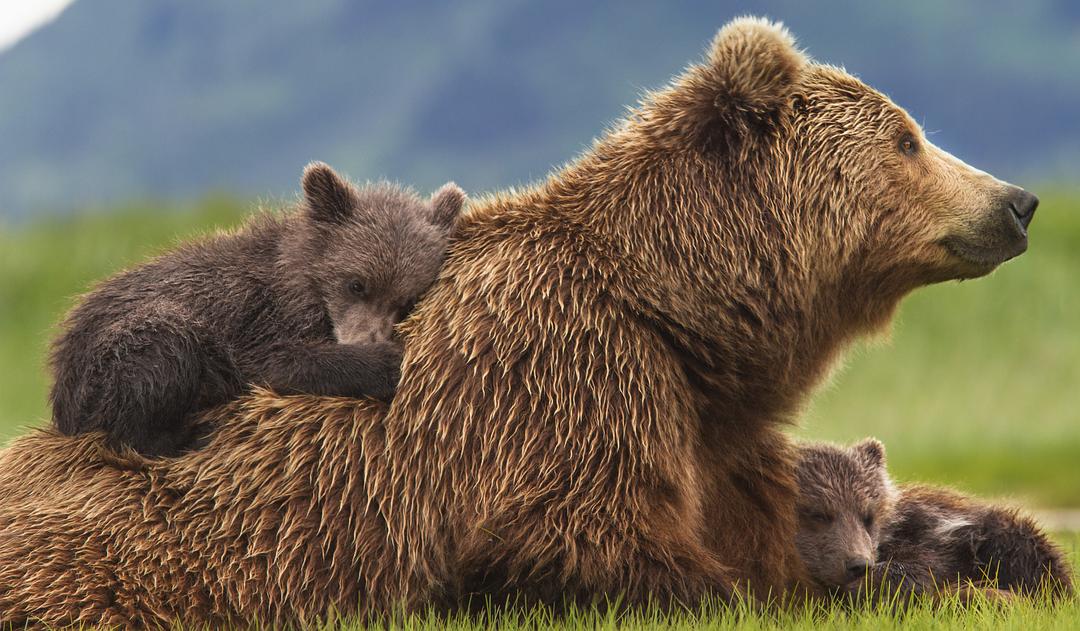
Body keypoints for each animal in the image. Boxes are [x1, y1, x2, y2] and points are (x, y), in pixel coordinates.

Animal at [48, 161, 465, 456]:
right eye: (357, 283)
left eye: (405, 300)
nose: (367, 339)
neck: (302, 281)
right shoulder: (257, 317)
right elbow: (278, 362)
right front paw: (386, 362)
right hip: (114, 355)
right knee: (161, 352)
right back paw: (189, 434)